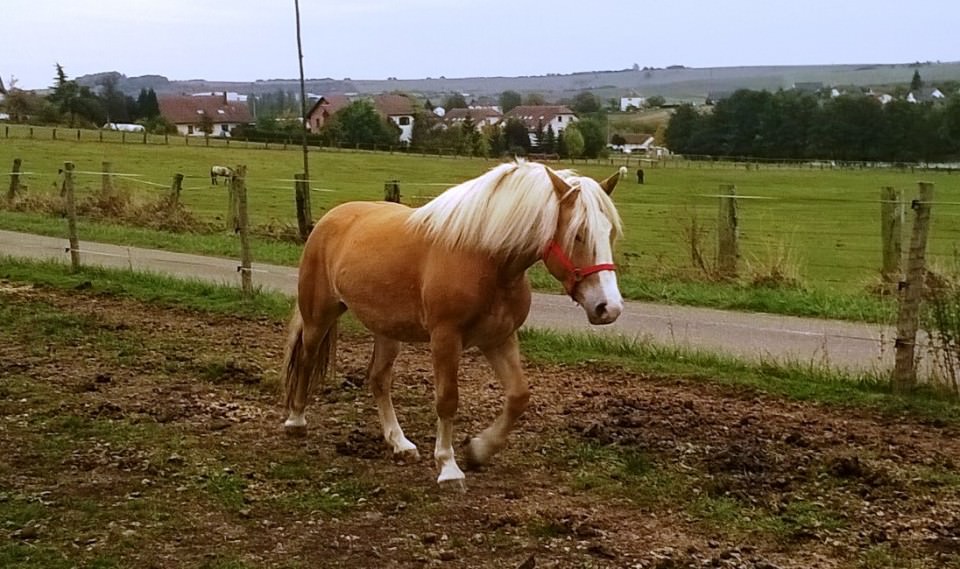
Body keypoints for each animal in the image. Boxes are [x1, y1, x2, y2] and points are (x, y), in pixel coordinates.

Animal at [282, 159, 628, 488]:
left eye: (610, 233)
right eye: (578, 234)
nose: (608, 307)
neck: (485, 258)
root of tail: (330, 218)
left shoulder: (499, 339)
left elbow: (518, 396)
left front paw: (478, 450)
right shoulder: (445, 339)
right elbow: (447, 400)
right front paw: (448, 468)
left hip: (387, 331)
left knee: (378, 379)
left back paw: (400, 443)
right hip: (318, 316)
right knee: (306, 359)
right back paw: (296, 422)